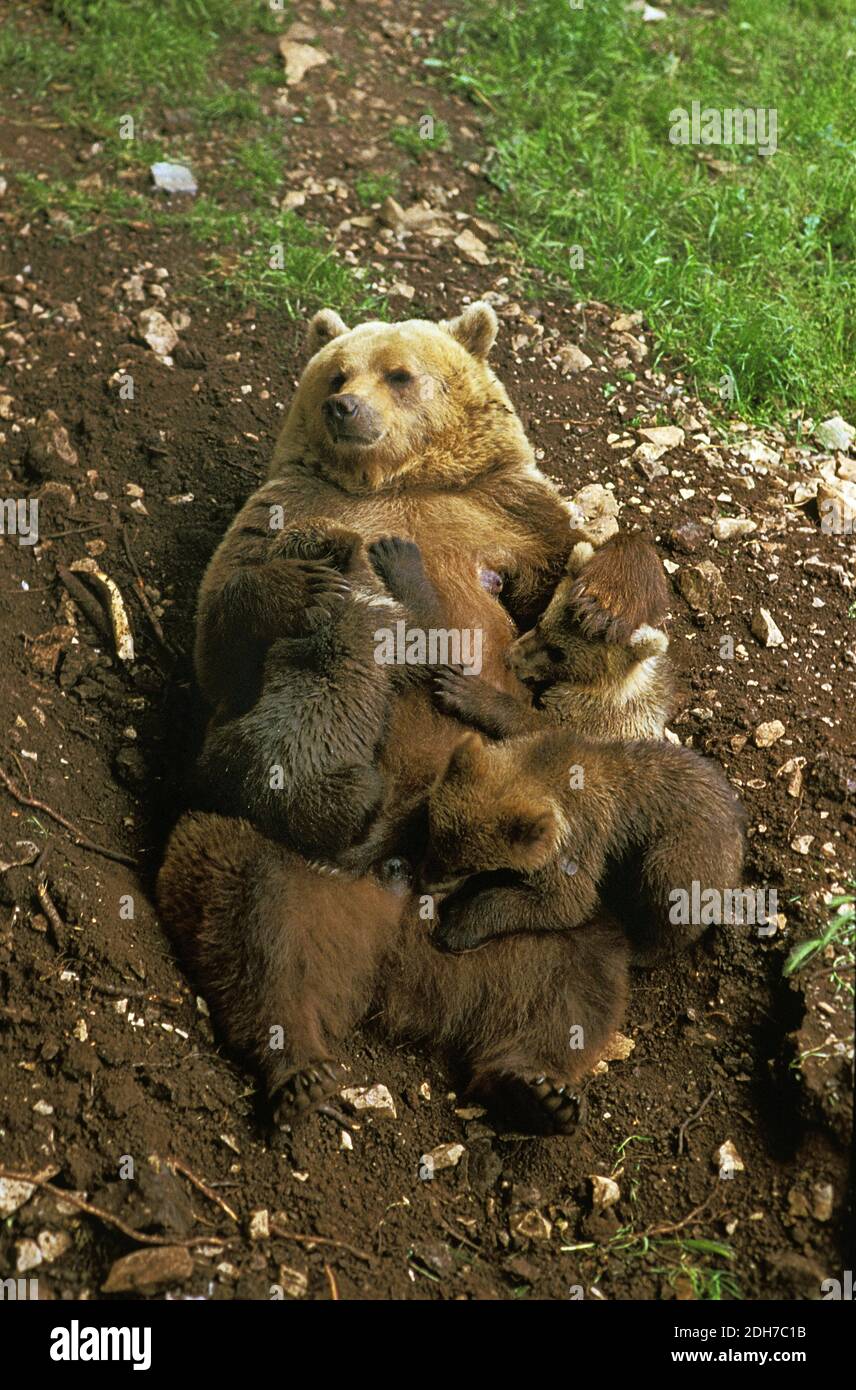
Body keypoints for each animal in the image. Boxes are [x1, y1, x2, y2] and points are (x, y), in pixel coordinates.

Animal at [157, 810, 629, 1135]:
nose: (401, 868)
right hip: (277, 886)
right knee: (259, 920)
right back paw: (301, 1075)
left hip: (514, 947)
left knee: (579, 981)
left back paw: (539, 1093)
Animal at [419, 728, 745, 964]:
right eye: (435, 837)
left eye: (467, 866)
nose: (426, 883)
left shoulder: (578, 842)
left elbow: (567, 903)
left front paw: (458, 926)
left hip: (684, 849)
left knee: (674, 899)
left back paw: (639, 950)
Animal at [433, 530, 675, 742]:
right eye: (541, 620)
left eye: (558, 654)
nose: (509, 657)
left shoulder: (592, 719)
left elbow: (542, 728)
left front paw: (464, 690)